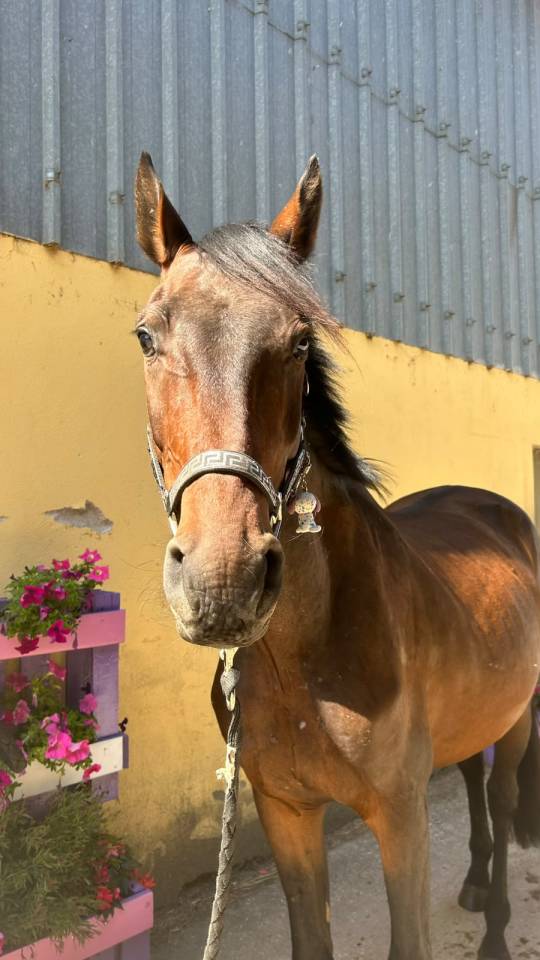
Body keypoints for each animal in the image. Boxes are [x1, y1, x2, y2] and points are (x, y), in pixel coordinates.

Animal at [133, 151, 540, 960]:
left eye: (298, 342)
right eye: (146, 337)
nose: (222, 581)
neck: (303, 660)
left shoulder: (401, 816)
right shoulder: (285, 811)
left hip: (516, 721)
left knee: (503, 794)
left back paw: (496, 928)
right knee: (476, 788)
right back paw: (476, 883)